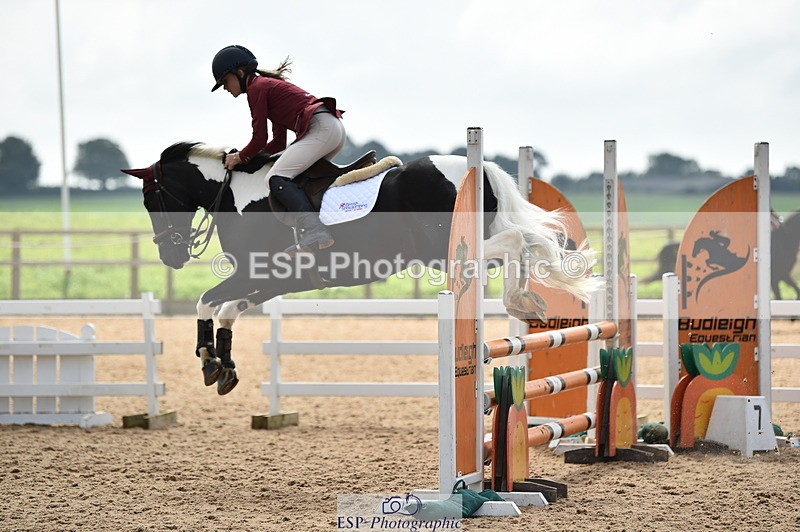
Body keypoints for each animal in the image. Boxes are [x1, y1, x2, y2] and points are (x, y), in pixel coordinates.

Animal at [123, 142, 600, 394]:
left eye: (150, 198)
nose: (171, 257)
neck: (237, 196)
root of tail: (475, 168)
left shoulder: (255, 274)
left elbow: (206, 302)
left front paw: (208, 360)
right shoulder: (269, 280)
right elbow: (226, 310)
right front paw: (224, 366)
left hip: (446, 250)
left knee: (518, 242)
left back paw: (520, 300)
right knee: (524, 244)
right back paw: (528, 302)